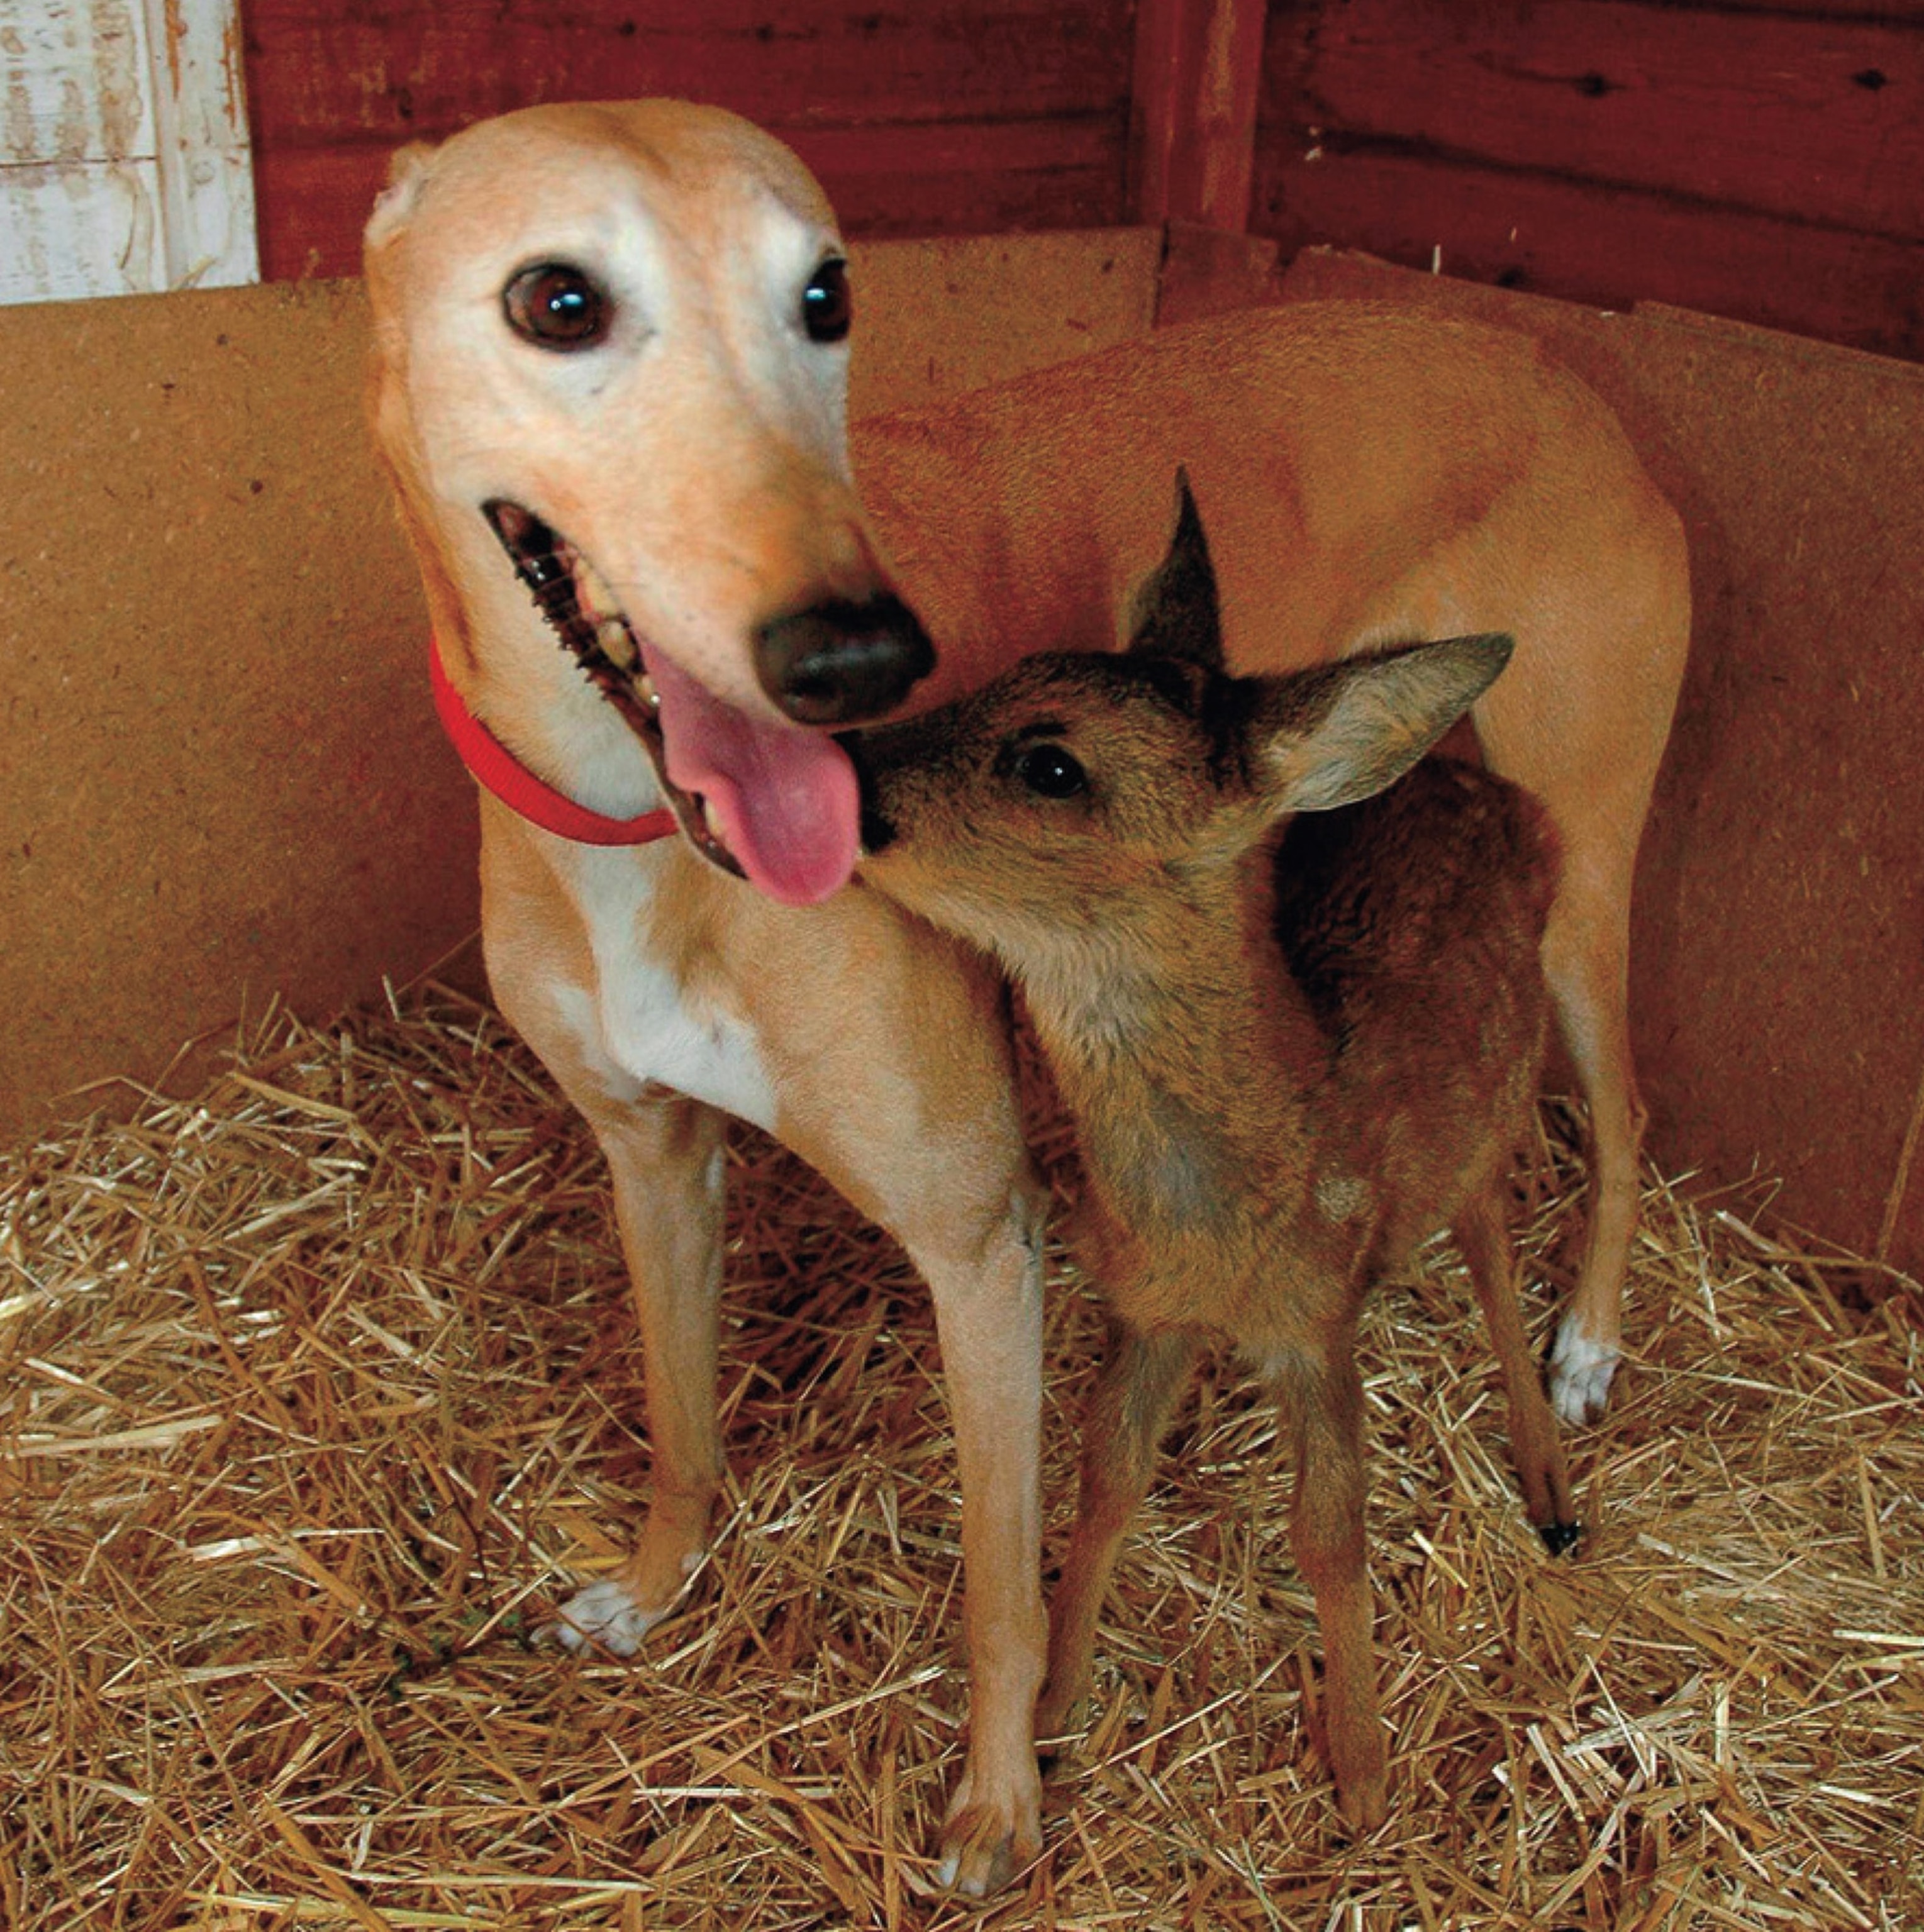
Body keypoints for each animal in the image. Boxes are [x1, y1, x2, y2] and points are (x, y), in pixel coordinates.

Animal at [847, 477, 1582, 1831]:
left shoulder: (1313, 1309)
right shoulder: (1147, 1309)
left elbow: (1329, 1528)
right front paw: (1049, 1712)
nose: (851, 774)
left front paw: (1360, 1772)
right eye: (1001, 673)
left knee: (1498, 1262)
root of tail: (1483, 785)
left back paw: (1551, 1489)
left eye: (1048, 762)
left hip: (1496, 1109)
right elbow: (1104, 1476)